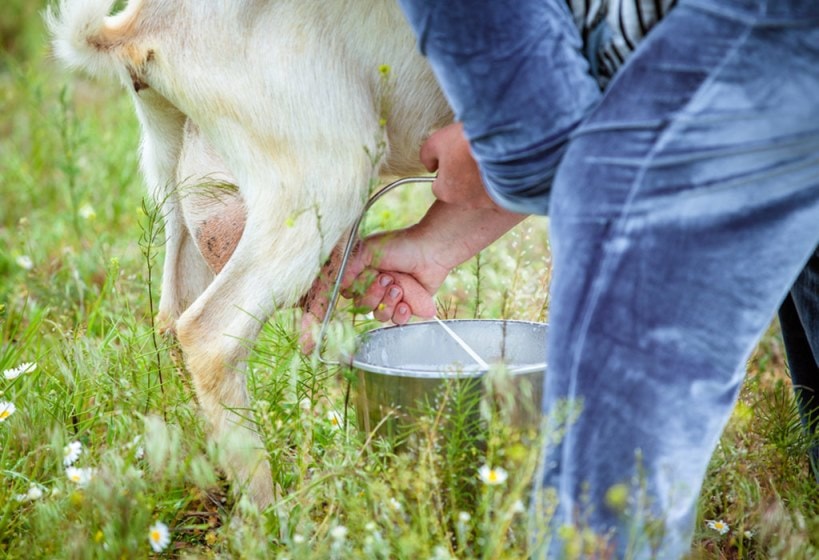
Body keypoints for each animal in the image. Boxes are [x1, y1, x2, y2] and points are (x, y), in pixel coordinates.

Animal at [48, 0, 452, 508]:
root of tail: (141, 24)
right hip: (324, 171)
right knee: (209, 335)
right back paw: (271, 511)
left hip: (179, 182)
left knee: (171, 318)